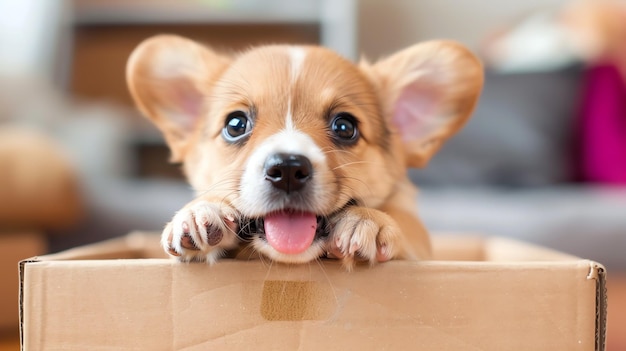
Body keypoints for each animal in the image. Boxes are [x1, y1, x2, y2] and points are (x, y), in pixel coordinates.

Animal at [124, 35, 480, 270]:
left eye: (345, 127)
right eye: (235, 124)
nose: (287, 170)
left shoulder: (421, 245)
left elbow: (405, 224)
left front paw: (368, 220)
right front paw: (202, 210)